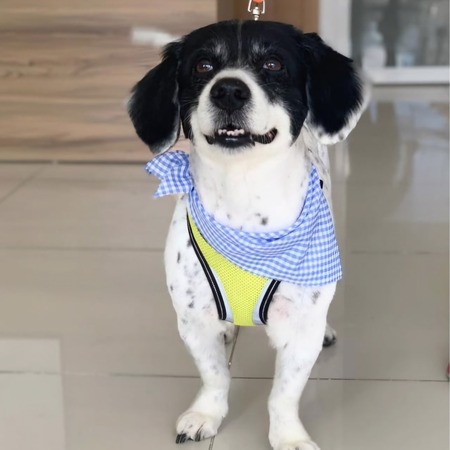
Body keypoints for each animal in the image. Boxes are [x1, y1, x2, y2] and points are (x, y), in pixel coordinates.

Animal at [128, 20, 367, 450]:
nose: (228, 89)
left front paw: (288, 436)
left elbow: (284, 393)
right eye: (203, 66)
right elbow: (215, 375)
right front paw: (206, 414)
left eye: (273, 64)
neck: (244, 198)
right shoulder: (193, 319)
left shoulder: (298, 328)